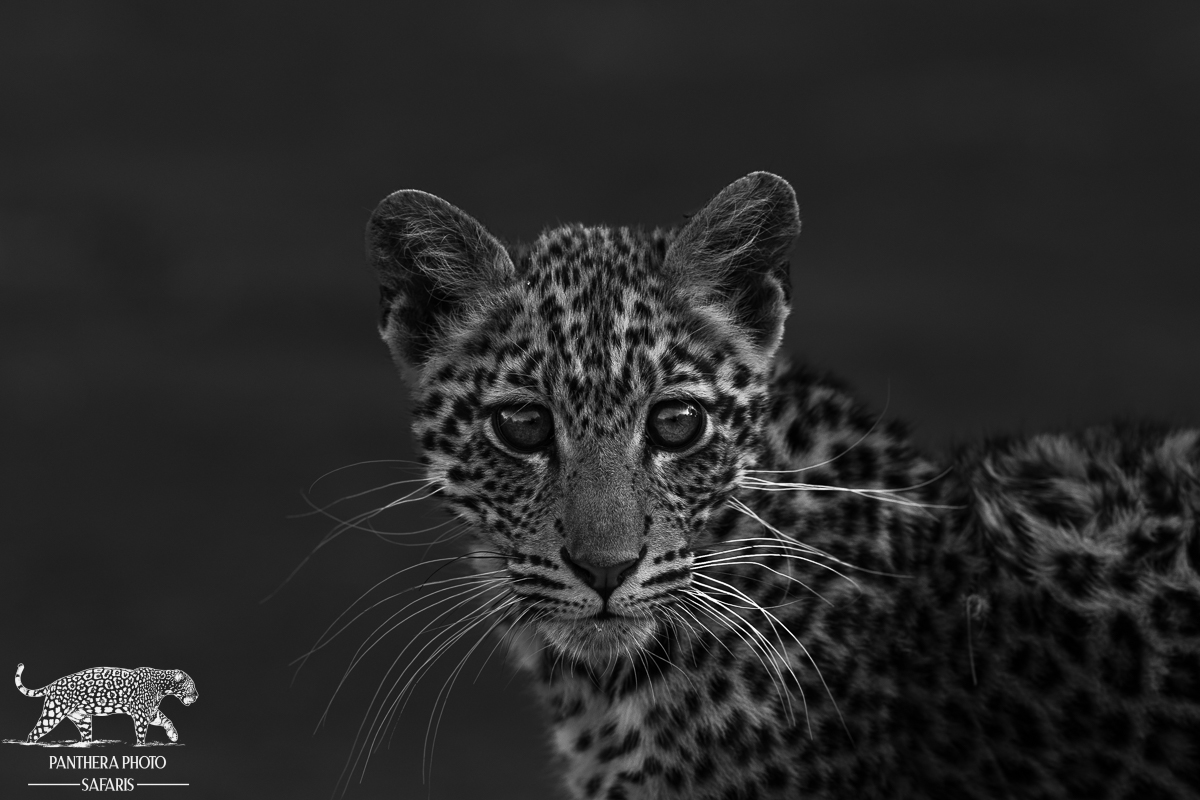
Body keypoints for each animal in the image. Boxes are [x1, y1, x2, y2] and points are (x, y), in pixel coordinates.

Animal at [16, 663, 198, 744]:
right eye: (192, 686)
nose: (197, 696)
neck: (162, 686)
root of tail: (52, 685)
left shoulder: (151, 713)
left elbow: (167, 719)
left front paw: (173, 735)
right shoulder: (141, 715)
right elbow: (141, 733)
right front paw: (141, 745)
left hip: (82, 719)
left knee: (85, 736)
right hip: (53, 713)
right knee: (34, 733)